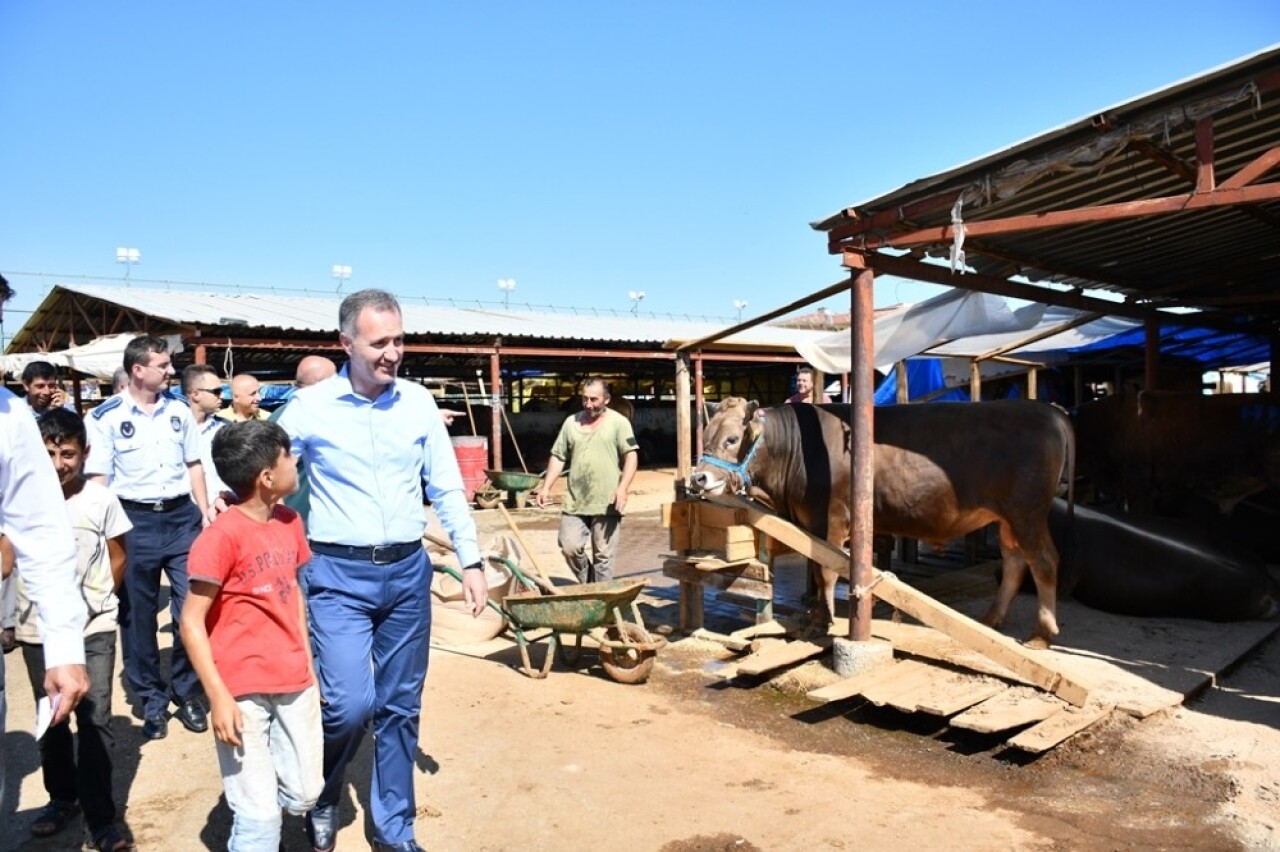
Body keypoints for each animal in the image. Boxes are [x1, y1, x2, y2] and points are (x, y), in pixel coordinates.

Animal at [691, 399, 1070, 644]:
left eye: (732, 439)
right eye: (705, 435)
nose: (698, 478)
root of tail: (1047, 410)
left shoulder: (831, 518)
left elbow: (826, 571)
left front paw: (824, 624)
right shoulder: (812, 523)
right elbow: (816, 567)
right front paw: (817, 618)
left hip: (1027, 512)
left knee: (1044, 561)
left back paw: (1041, 634)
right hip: (1007, 519)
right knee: (1015, 561)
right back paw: (991, 621)